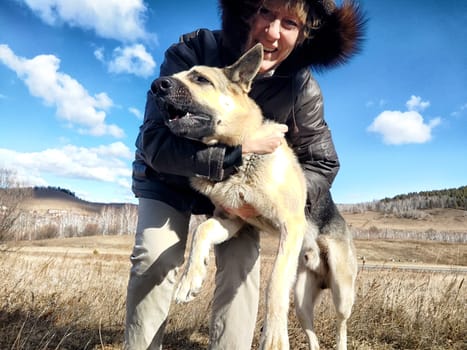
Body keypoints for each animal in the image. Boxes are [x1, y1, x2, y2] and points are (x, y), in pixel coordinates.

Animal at [154, 43, 358, 350]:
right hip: (301, 300)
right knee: (312, 332)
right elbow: (201, 231)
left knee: (341, 323)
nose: (156, 85)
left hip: (342, 292)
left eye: (200, 78)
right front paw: (190, 279)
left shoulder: (291, 226)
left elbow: (274, 283)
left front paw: (272, 337)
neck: (238, 158)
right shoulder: (231, 220)